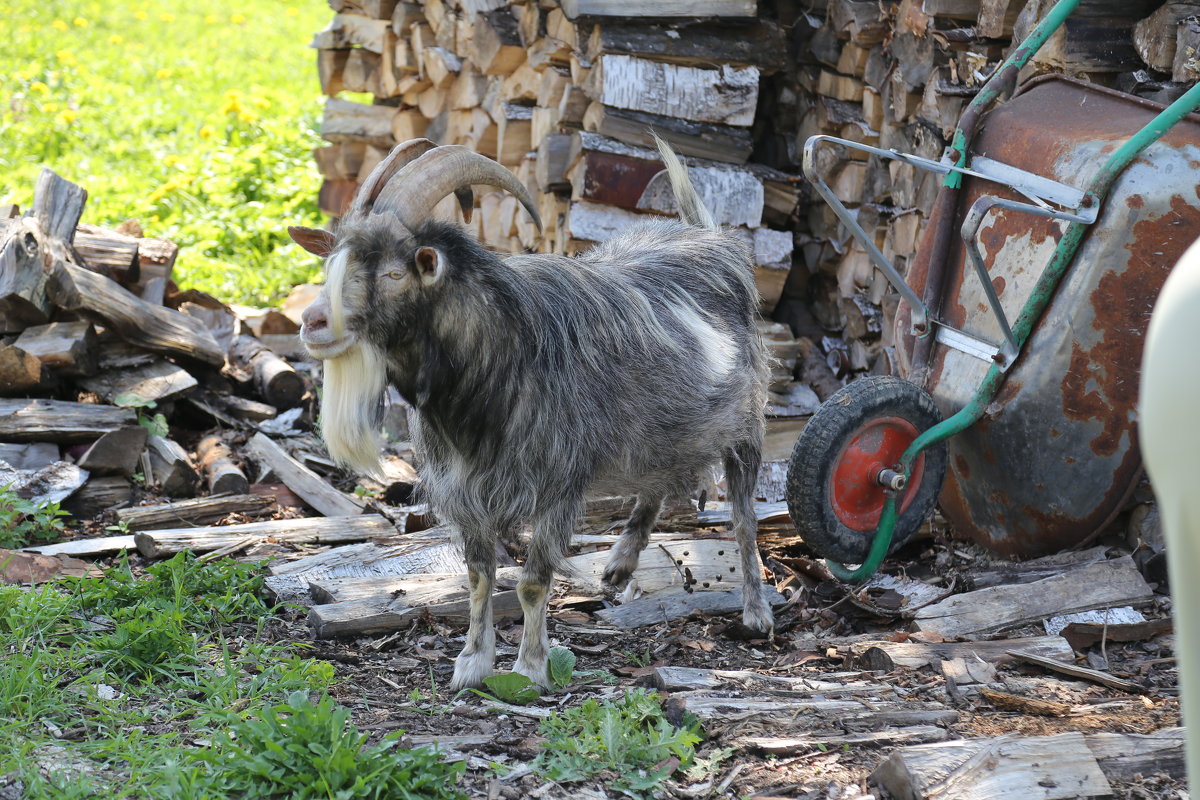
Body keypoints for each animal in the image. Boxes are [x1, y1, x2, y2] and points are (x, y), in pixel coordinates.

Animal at [292, 139, 777, 690]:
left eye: (395, 272)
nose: (313, 322)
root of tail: (710, 237)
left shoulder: (557, 484)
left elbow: (532, 581)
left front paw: (529, 668)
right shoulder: (465, 491)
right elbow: (478, 577)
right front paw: (472, 664)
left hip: (745, 424)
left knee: (744, 519)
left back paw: (756, 613)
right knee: (656, 480)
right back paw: (619, 565)